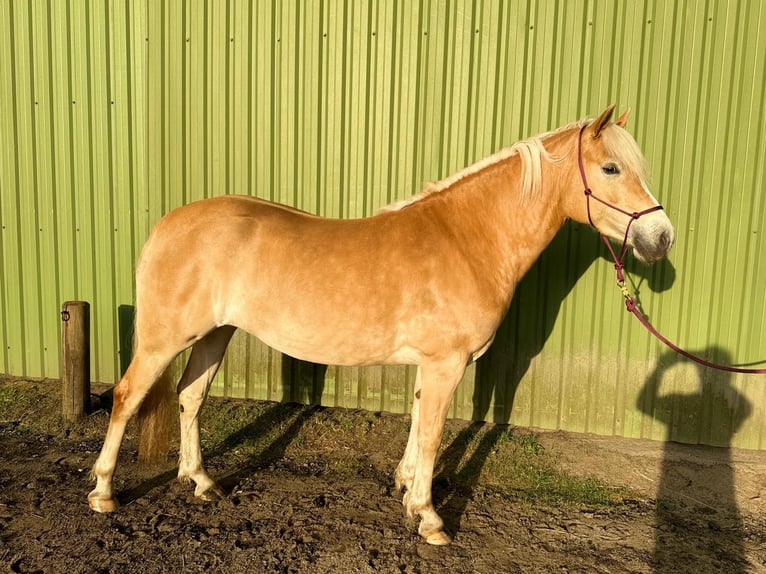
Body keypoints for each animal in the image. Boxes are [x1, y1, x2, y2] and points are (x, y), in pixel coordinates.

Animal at [87, 106, 676, 548]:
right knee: (126, 396)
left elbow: (418, 425)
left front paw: (406, 491)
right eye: (611, 169)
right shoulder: (447, 364)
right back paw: (104, 492)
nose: (662, 237)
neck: (467, 238)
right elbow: (434, 433)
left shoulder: (432, 365)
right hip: (165, 339)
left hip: (214, 334)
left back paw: (202, 483)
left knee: (190, 397)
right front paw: (431, 518)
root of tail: (168, 225)